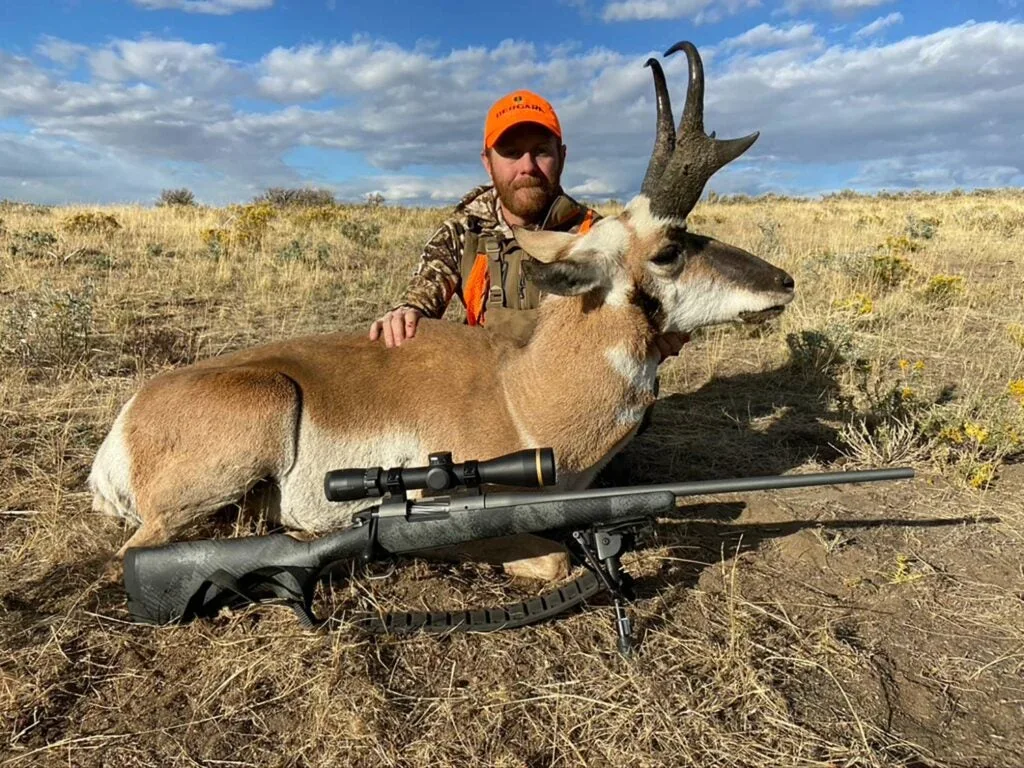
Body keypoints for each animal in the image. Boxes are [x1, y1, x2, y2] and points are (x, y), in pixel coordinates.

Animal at [88, 39, 794, 573]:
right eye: (670, 248)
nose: (784, 283)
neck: (522, 386)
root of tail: (130, 418)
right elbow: (555, 558)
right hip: (253, 424)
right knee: (137, 550)